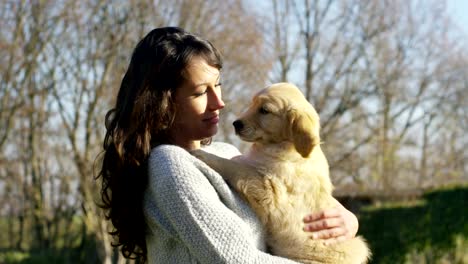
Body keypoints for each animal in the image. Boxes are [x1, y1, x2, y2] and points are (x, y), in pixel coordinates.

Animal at [192, 82, 372, 262]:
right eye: (252, 104)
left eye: (264, 110)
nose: (236, 124)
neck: (284, 145)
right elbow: (241, 161)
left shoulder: (271, 191)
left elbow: (237, 167)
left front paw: (203, 155)